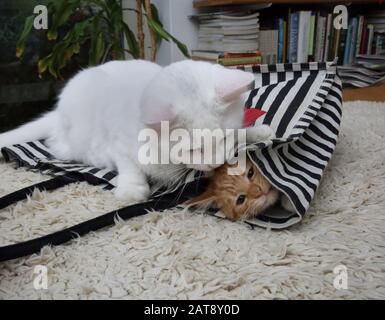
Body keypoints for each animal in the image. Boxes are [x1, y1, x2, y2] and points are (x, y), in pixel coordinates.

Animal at [0, 60, 272, 202]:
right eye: (193, 149)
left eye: (224, 138)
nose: (216, 164)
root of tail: (57, 112)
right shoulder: (118, 143)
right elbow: (130, 165)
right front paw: (132, 188)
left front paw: (257, 132)